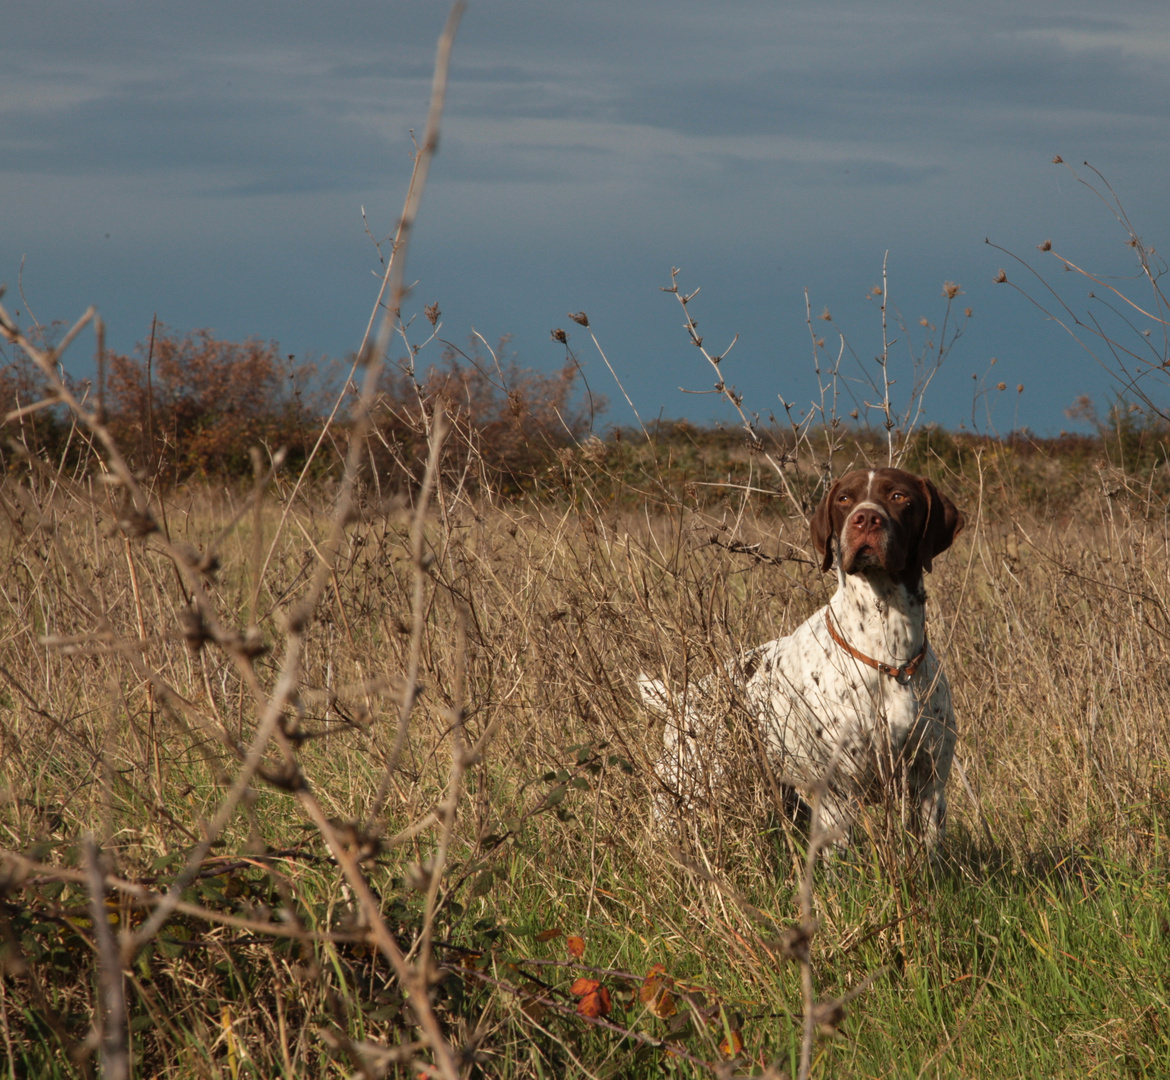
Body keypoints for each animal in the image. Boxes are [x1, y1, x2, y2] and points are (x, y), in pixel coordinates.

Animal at [645, 468, 964, 847]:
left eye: (899, 496)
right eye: (844, 499)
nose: (865, 519)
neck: (890, 655)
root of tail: (684, 696)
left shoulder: (930, 786)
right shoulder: (838, 793)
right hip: (686, 792)